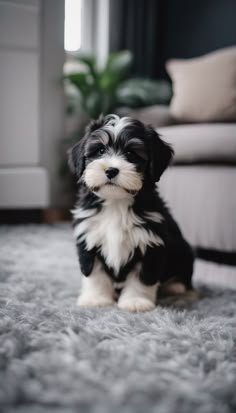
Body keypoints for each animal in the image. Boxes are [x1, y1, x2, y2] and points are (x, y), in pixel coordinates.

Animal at [68, 114, 194, 310]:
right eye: (100, 150)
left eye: (131, 154)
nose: (111, 170)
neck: (116, 202)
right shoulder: (89, 235)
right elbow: (94, 272)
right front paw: (96, 299)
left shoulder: (150, 241)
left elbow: (142, 277)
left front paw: (136, 302)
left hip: (184, 250)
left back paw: (175, 287)